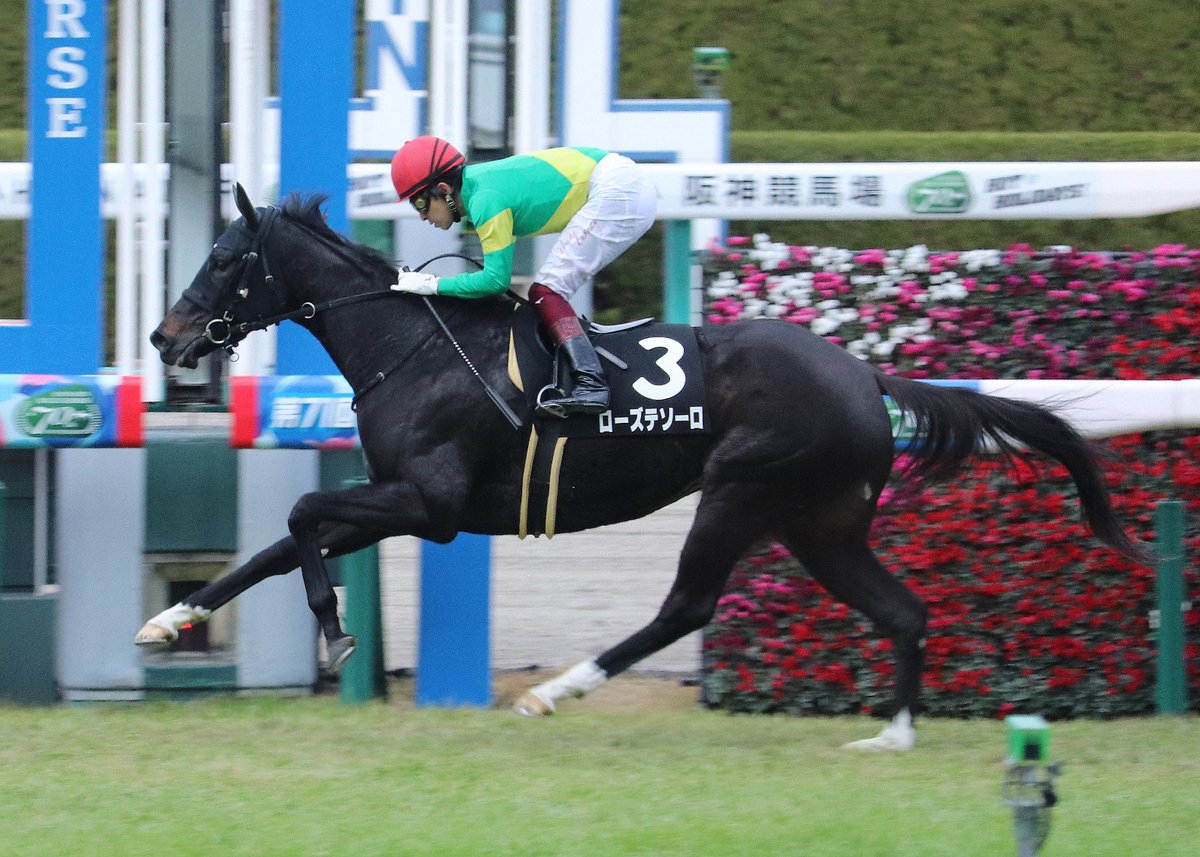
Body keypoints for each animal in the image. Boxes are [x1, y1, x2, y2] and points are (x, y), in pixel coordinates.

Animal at [140, 187, 1142, 748]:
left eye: (224, 259)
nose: (165, 336)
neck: (411, 345)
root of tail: (866, 373)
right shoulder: (406, 498)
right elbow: (278, 543)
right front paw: (170, 618)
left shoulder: (432, 503)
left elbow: (303, 516)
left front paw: (334, 630)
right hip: (819, 521)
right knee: (902, 609)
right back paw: (891, 737)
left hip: (741, 489)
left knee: (687, 606)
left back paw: (556, 690)